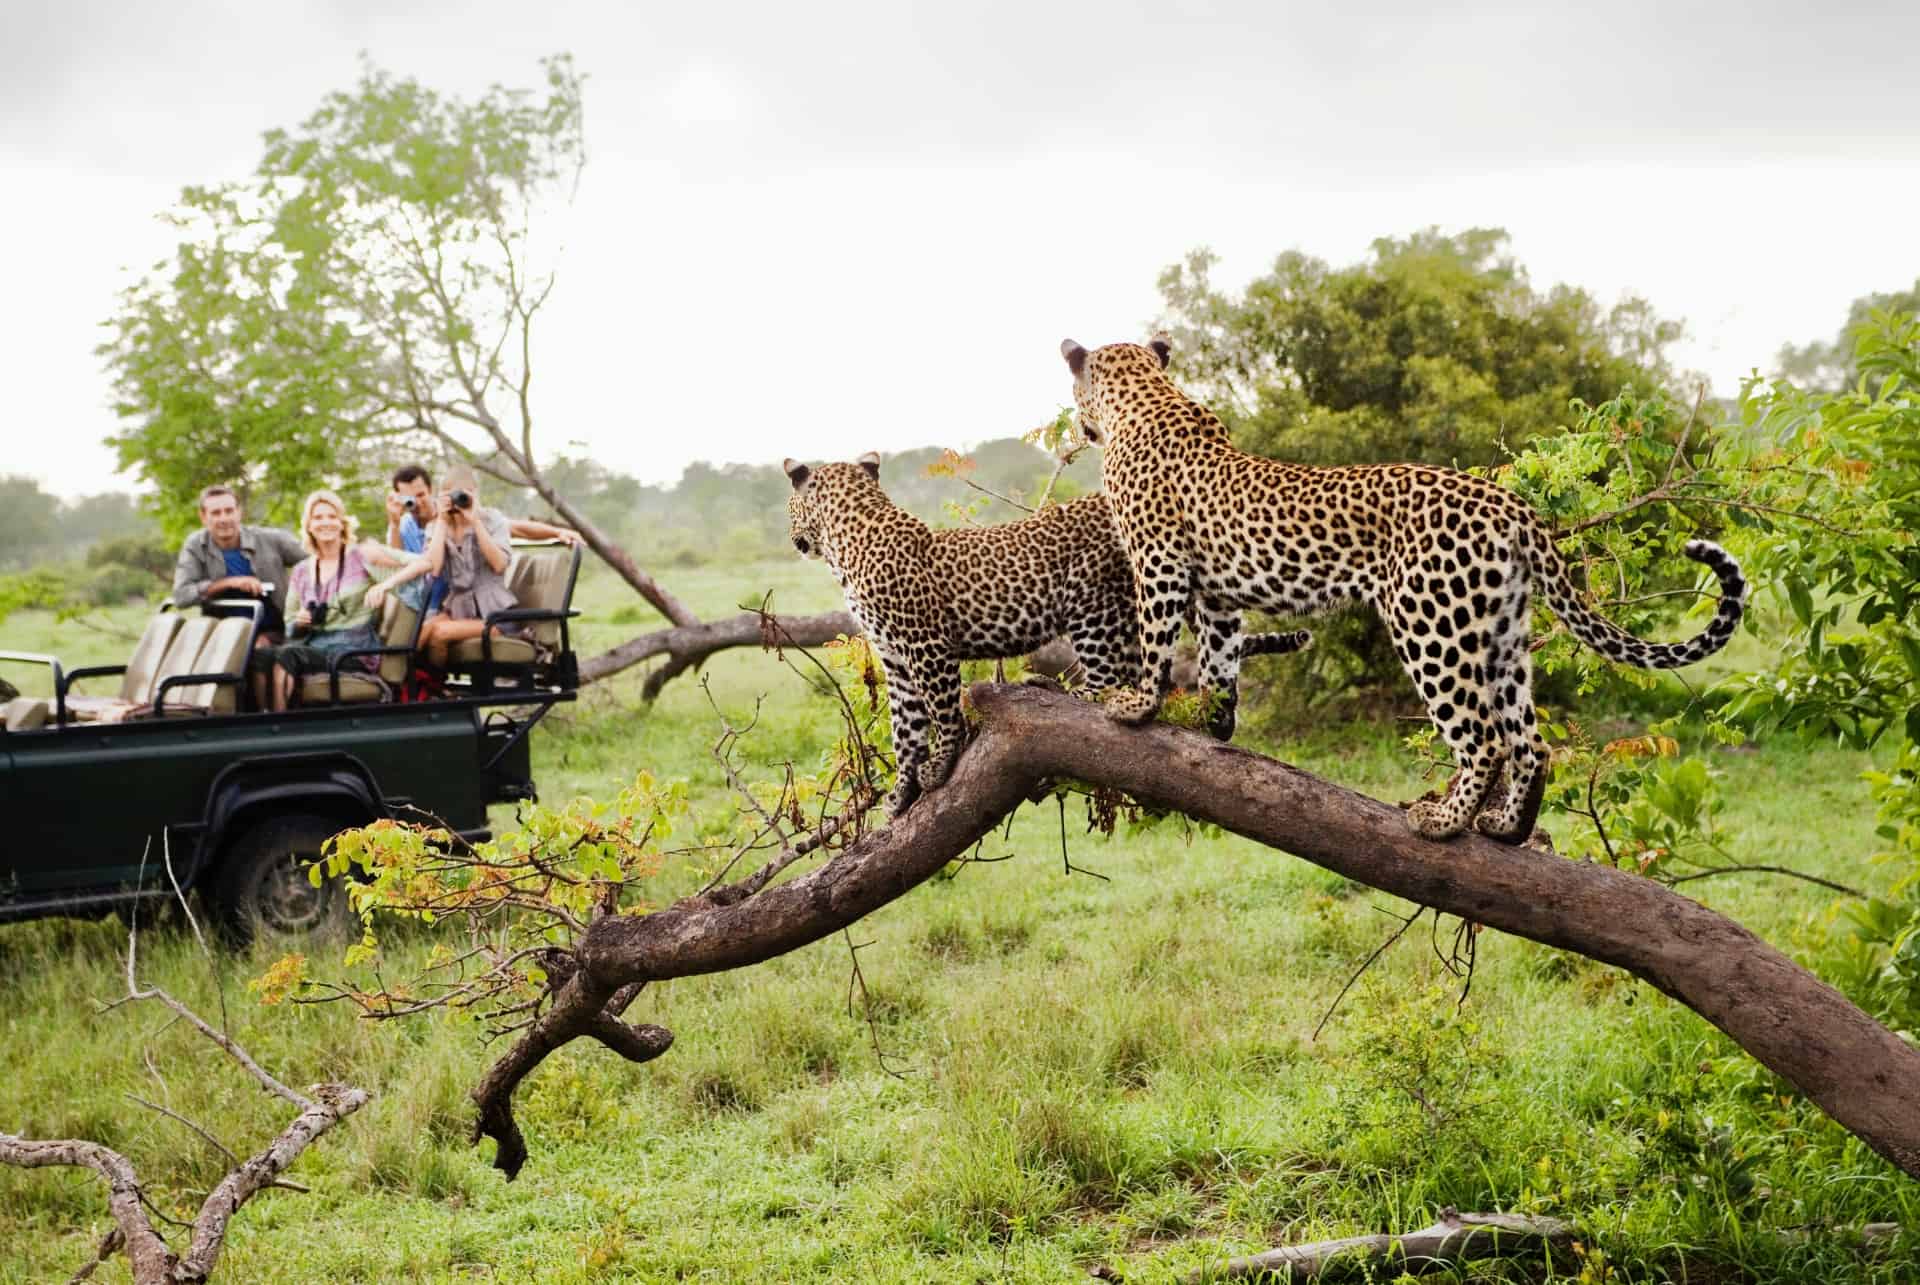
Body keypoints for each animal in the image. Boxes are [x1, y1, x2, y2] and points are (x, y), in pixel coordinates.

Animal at [787, 451, 1313, 810]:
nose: (794, 540)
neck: (848, 541)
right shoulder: (895, 660)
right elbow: (905, 729)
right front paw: (900, 794)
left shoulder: (926, 646)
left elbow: (942, 712)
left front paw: (939, 765)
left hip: (1092, 603)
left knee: (1109, 681)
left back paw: (1062, 691)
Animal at [1059, 338, 1751, 841]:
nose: (1078, 423)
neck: (1147, 396)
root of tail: (1512, 505)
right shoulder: (1220, 595)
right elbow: (1219, 660)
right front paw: (1215, 723)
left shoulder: (1158, 562)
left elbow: (1156, 642)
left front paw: (1135, 706)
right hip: (1501, 634)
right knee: (1530, 742)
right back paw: (1505, 827)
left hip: (1430, 625)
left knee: (1484, 739)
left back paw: (1443, 822)